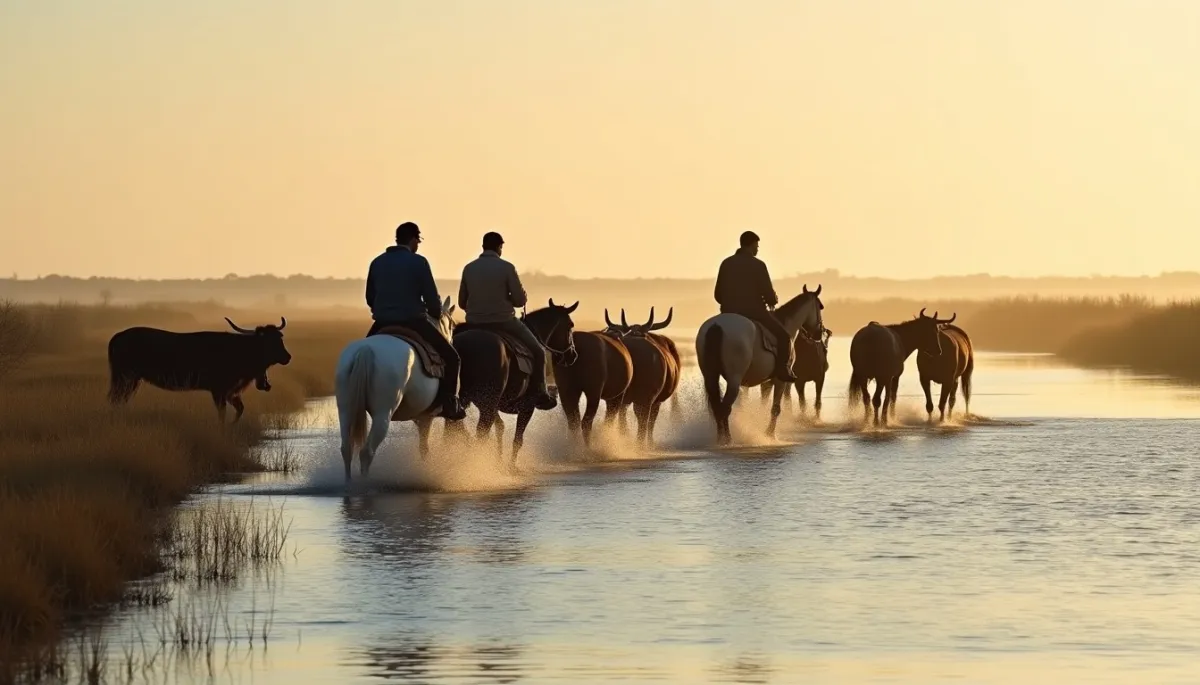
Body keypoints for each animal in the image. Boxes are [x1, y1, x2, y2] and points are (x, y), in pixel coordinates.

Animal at [334, 295, 458, 483]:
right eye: (452, 325)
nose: (450, 339)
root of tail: (365, 350)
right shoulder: (426, 417)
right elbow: (424, 449)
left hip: (346, 410)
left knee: (346, 449)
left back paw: (348, 483)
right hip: (382, 415)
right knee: (366, 452)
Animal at [450, 300, 579, 466]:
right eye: (570, 325)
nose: (572, 355)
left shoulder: (494, 406)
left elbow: (500, 428)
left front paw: (499, 461)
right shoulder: (527, 407)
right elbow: (518, 439)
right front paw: (511, 466)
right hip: (487, 404)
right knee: (481, 432)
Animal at [554, 312, 635, 446]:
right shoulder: (618, 396)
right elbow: (609, 419)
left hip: (566, 389)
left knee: (573, 421)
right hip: (594, 392)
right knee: (586, 422)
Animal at [602, 306, 681, 446]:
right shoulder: (653, 399)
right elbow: (649, 421)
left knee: (617, 414)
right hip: (645, 397)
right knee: (643, 419)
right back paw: (641, 443)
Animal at [696, 285, 825, 444]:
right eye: (820, 306)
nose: (819, 333)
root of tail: (716, 326)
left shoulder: (767, 381)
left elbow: (764, 405)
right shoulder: (780, 379)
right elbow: (775, 408)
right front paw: (769, 435)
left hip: (710, 375)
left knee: (717, 407)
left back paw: (721, 438)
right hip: (734, 379)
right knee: (725, 408)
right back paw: (727, 440)